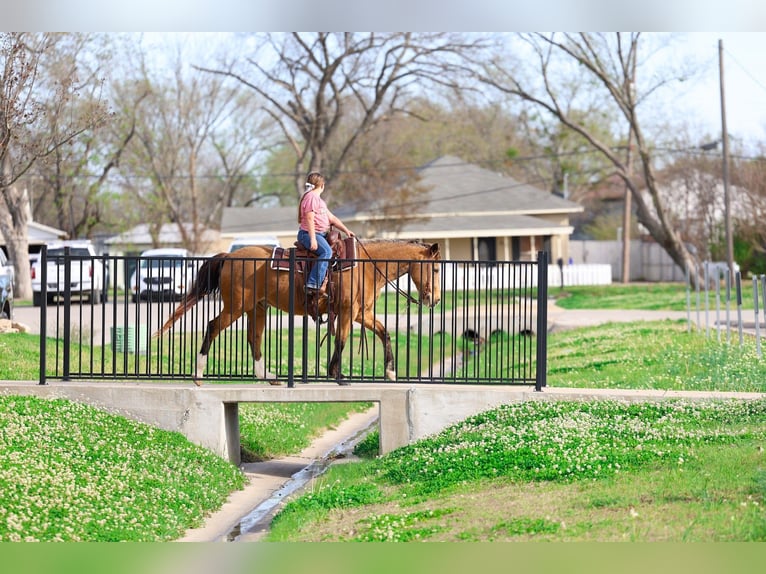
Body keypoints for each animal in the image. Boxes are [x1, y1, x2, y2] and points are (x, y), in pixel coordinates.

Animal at [154, 239, 441, 385]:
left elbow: (384, 333)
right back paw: (198, 374)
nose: (436, 299)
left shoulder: (362, 313)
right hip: (235, 307)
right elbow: (341, 340)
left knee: (254, 338)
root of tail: (229, 256)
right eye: (437, 269)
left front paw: (390, 372)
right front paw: (337, 375)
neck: (365, 266)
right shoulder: (347, 312)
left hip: (257, 308)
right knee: (213, 326)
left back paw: (268, 377)